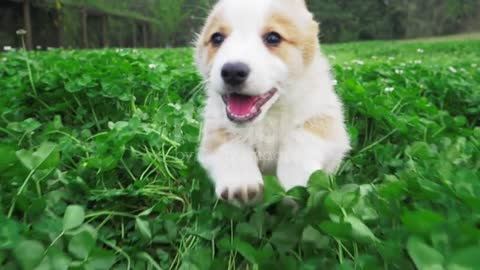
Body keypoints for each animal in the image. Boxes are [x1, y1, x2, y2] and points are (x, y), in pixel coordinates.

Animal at [194, 0, 348, 205]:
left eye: (273, 38)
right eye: (217, 38)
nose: (233, 71)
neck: (269, 116)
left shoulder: (325, 120)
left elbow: (301, 137)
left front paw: (297, 180)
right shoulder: (215, 129)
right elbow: (230, 146)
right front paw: (240, 183)